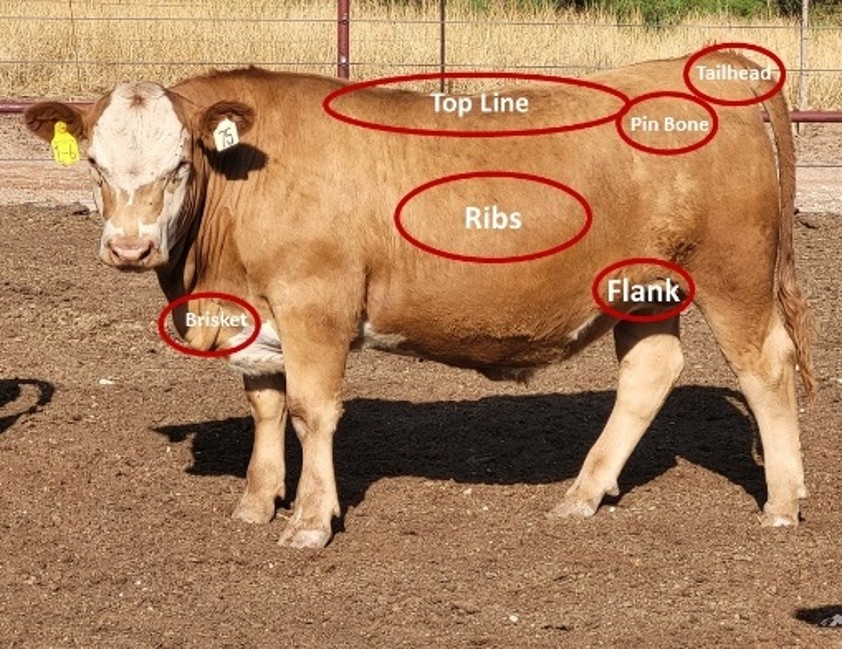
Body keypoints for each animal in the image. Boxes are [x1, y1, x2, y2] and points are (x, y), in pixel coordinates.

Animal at [24, 52, 815, 548]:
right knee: (650, 373)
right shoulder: (257, 316)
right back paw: (582, 494)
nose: (129, 247)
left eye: (180, 164)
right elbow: (266, 406)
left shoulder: (316, 305)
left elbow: (311, 411)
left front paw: (309, 521)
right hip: (644, 288)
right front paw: (255, 502)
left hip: (733, 274)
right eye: (93, 162)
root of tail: (712, 67)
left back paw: (780, 503)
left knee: (765, 366)